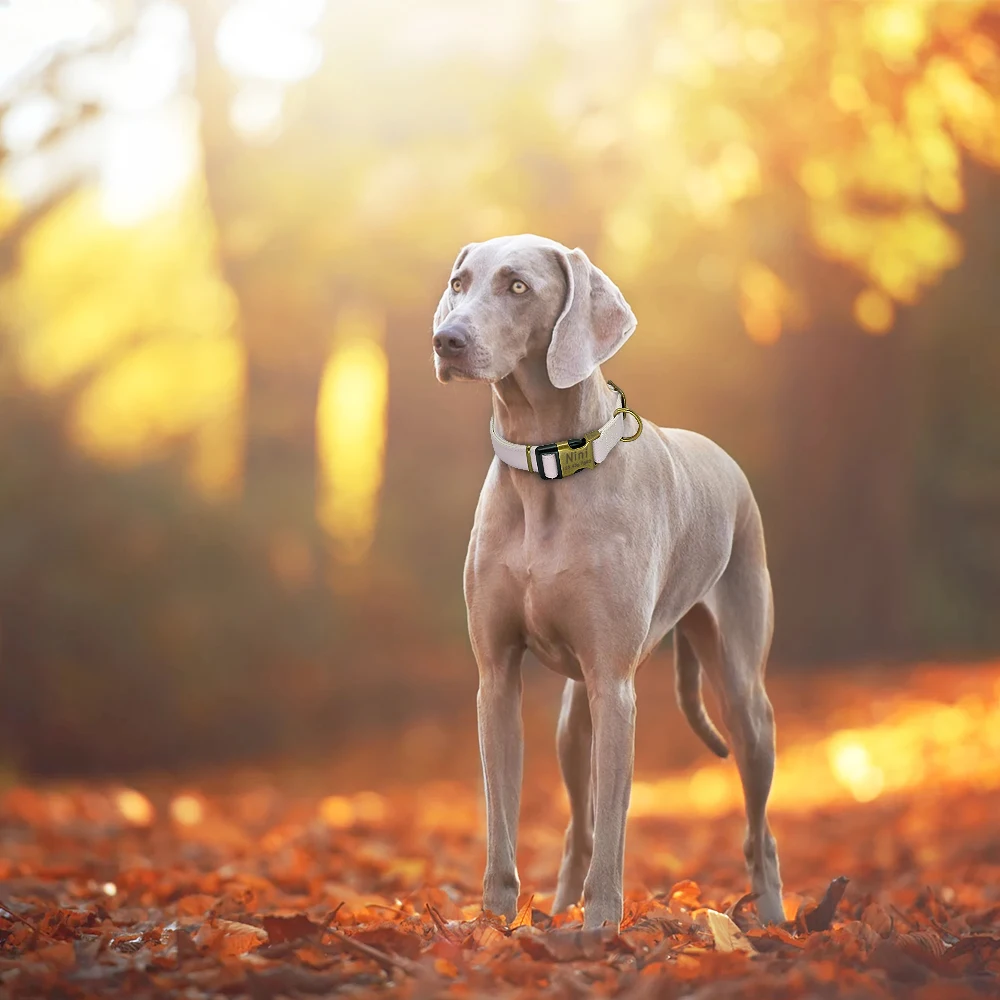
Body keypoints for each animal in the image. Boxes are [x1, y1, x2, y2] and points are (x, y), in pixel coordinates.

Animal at [430, 232, 780, 928]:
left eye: (518, 286)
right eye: (459, 283)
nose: (445, 339)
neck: (545, 467)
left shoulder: (616, 686)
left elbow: (617, 828)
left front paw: (599, 931)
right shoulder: (496, 679)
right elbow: (502, 824)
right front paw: (492, 928)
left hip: (743, 696)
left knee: (759, 831)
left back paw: (780, 921)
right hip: (573, 722)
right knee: (578, 829)